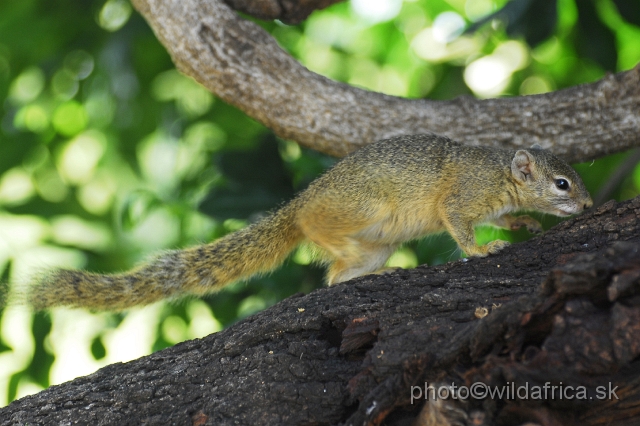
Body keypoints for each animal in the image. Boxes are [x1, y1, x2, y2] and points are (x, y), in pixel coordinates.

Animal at [27, 133, 592, 310]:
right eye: (562, 184)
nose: (587, 206)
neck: (499, 175)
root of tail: (295, 207)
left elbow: (509, 220)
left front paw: (523, 227)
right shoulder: (460, 199)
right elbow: (459, 228)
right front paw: (483, 250)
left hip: (377, 242)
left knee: (336, 279)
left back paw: (373, 274)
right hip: (364, 210)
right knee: (326, 247)